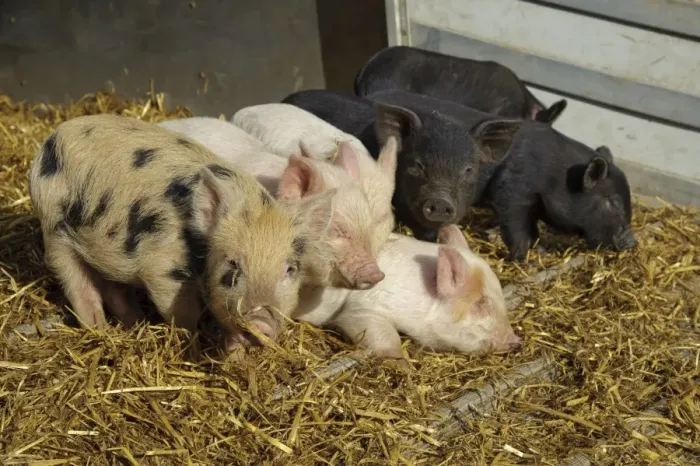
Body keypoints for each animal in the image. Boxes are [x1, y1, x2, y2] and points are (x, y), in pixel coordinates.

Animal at [29, 114, 336, 348]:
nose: (260, 322)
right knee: (77, 282)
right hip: (53, 226)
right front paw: (193, 341)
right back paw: (98, 328)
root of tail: (53, 135)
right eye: (233, 263)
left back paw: (134, 322)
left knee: (112, 287)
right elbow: (183, 313)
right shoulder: (162, 268)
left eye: (290, 269)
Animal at [364, 89, 638, 260]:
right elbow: (516, 230)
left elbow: (534, 231)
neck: (554, 176)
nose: (633, 241)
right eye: (612, 202)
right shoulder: (513, 194)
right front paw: (522, 259)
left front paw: (541, 252)